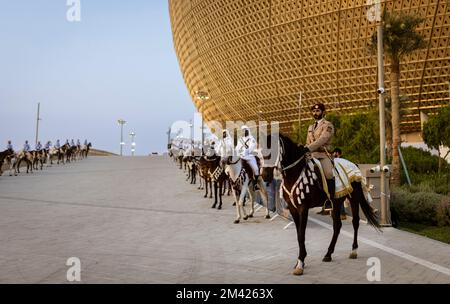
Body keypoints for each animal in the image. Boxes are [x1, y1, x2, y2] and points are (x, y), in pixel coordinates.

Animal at [262, 134, 382, 276]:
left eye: (273, 150)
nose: (265, 175)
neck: (294, 173)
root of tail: (354, 164)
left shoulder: (303, 208)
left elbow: (301, 235)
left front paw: (300, 263)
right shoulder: (293, 208)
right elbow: (298, 235)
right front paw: (299, 261)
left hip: (354, 198)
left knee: (355, 222)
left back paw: (353, 251)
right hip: (336, 202)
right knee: (337, 226)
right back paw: (328, 254)